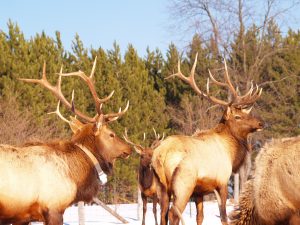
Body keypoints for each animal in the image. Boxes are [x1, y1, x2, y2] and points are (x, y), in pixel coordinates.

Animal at [151, 54, 264, 225]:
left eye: (246, 113)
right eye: (238, 116)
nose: (260, 123)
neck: (231, 152)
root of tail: (161, 156)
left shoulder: (199, 191)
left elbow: (200, 216)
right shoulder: (222, 182)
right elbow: (223, 216)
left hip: (161, 186)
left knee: (163, 213)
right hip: (183, 184)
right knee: (173, 214)